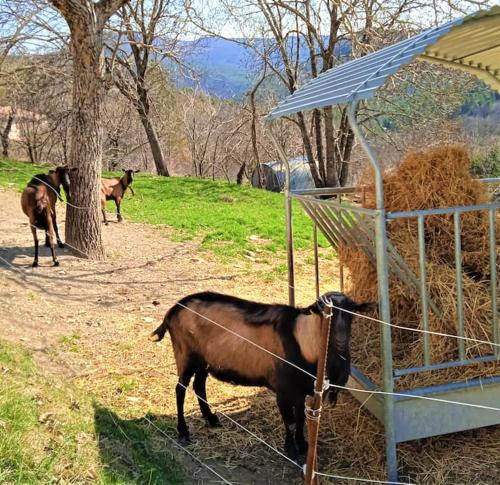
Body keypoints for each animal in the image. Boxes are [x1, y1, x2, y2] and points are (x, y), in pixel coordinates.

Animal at [150, 290, 374, 460]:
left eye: (352, 311)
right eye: (323, 310)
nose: (340, 341)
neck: (303, 342)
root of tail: (173, 310)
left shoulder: (300, 390)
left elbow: (301, 417)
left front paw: (303, 444)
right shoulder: (283, 391)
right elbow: (288, 419)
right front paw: (291, 448)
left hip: (204, 360)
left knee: (199, 385)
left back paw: (211, 419)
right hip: (185, 354)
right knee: (180, 389)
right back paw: (183, 432)